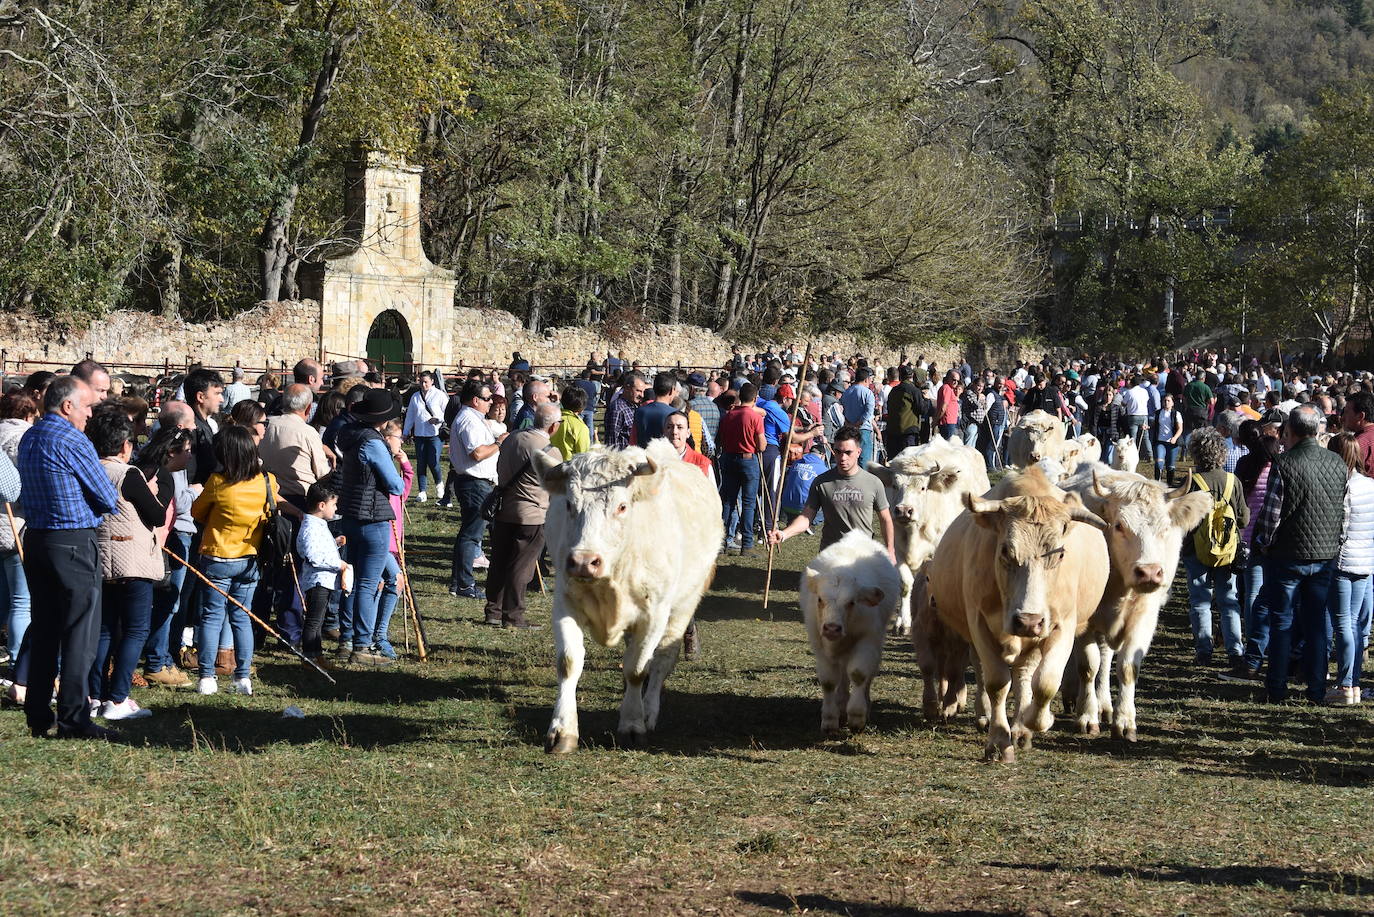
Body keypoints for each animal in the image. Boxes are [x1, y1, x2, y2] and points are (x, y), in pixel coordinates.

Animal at [530, 439, 725, 758]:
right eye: (569, 504)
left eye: (621, 506)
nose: (583, 562)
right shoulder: (565, 604)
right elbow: (569, 663)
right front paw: (562, 731)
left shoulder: (654, 614)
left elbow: (637, 669)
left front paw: (633, 725)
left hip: (683, 605)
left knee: (661, 660)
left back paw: (649, 712)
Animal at [796, 530, 901, 736]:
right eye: (820, 599)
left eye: (852, 602)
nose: (831, 628)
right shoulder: (819, 645)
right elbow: (829, 682)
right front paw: (830, 719)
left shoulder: (867, 640)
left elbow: (859, 674)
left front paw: (857, 716)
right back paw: (841, 703)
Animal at [868, 437, 989, 635]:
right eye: (894, 485)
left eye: (923, 487)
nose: (904, 510)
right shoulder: (897, 549)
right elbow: (905, 584)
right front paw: (903, 622)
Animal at [1055, 467, 1209, 736]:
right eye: (1119, 525)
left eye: (1165, 527)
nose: (1149, 572)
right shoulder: (1086, 621)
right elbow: (1088, 666)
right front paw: (1087, 716)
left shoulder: (1145, 616)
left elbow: (1127, 667)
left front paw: (1124, 720)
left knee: (1106, 657)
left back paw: (1104, 705)